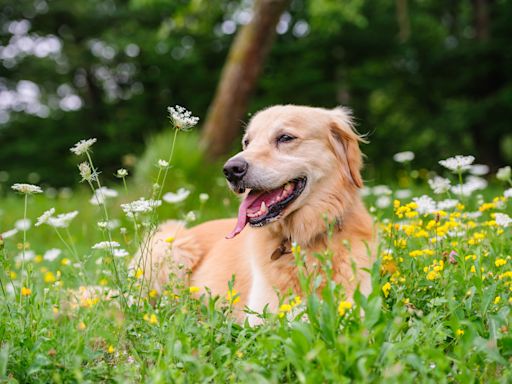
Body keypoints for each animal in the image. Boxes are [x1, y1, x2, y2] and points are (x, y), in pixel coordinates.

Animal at [134, 103, 376, 322]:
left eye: (285, 138)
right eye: (247, 142)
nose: (230, 170)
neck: (302, 240)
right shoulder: (261, 317)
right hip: (170, 244)